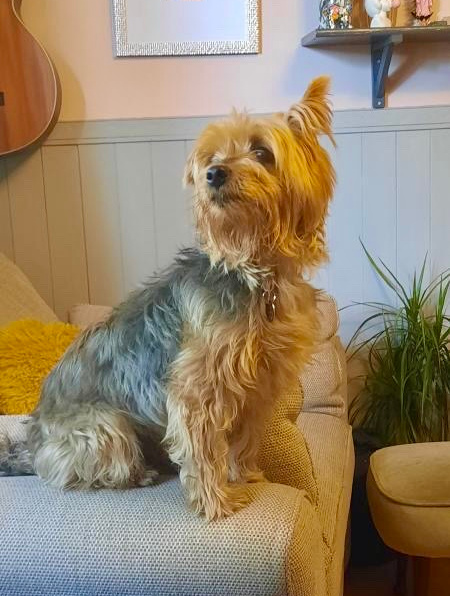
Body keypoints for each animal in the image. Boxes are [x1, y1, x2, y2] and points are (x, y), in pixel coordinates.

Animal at [0, 77, 336, 520]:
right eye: (211, 157)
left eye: (262, 152)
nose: (213, 174)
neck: (254, 271)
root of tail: (34, 438)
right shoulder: (198, 387)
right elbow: (203, 446)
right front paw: (216, 501)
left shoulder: (259, 385)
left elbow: (245, 437)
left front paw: (247, 475)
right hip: (105, 429)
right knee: (86, 466)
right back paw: (138, 473)